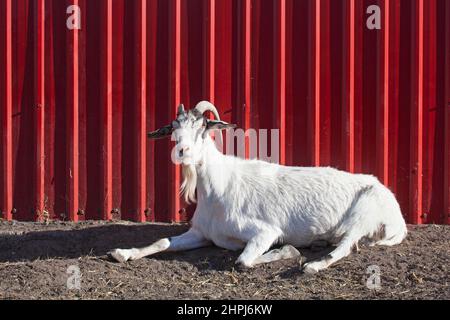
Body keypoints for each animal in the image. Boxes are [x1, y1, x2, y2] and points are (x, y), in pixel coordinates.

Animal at [110, 101, 408, 274]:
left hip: (363, 212)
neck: (217, 188)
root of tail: (397, 214)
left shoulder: (265, 231)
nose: (182, 151)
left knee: (346, 246)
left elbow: (243, 261)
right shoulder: (201, 233)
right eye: (173, 127)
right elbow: (162, 241)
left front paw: (288, 251)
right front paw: (123, 253)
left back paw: (314, 264)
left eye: (203, 125)